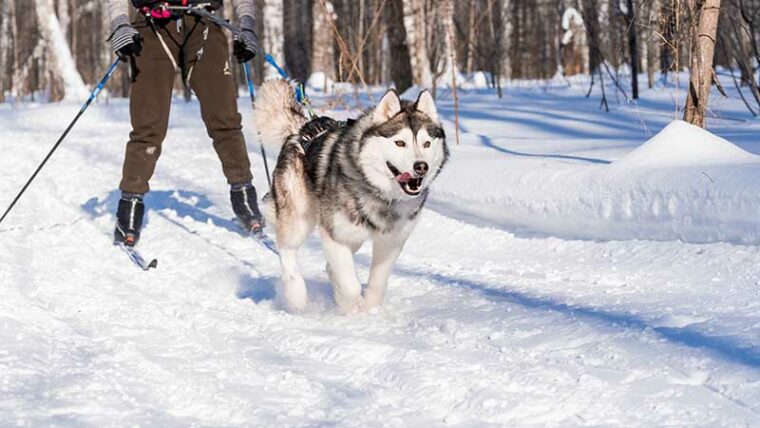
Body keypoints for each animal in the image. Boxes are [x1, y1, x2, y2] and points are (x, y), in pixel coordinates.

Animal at [256, 80, 446, 312]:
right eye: (400, 143)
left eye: (426, 144)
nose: (421, 167)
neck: (380, 195)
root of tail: (301, 130)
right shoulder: (335, 236)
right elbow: (349, 285)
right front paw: (353, 312)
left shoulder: (391, 242)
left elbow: (377, 282)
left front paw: (371, 310)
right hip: (298, 218)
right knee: (287, 251)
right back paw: (295, 295)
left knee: (329, 267)